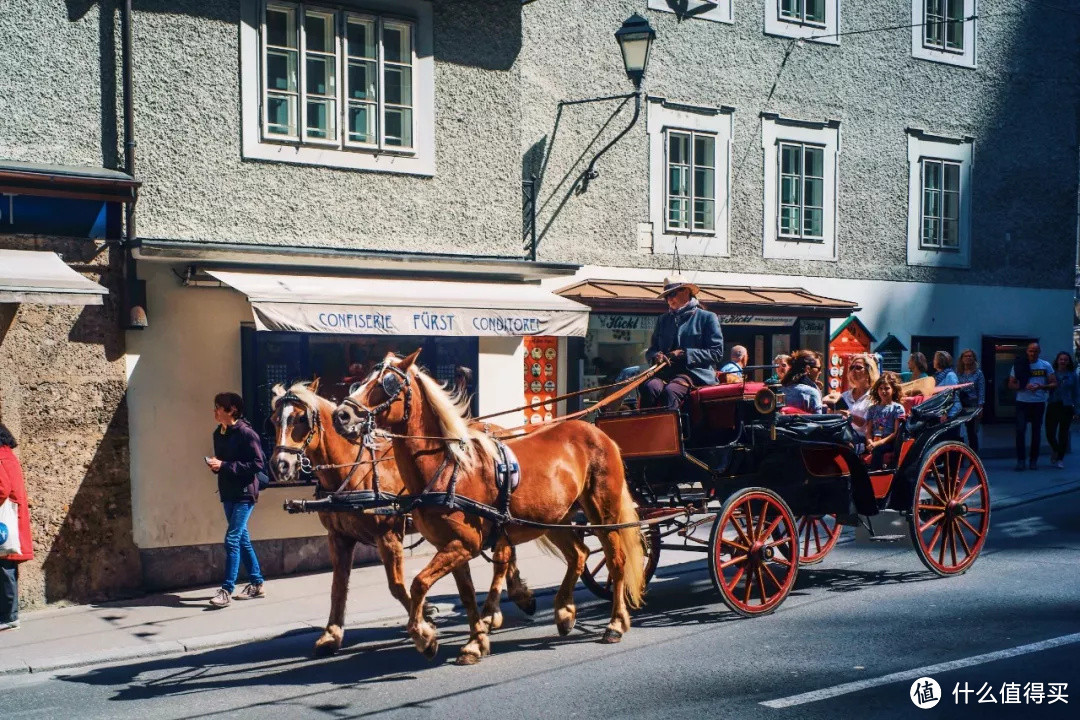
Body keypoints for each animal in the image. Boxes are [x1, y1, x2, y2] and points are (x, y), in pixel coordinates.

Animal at [266, 382, 535, 660]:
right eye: (274, 420)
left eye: (301, 419)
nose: (280, 465)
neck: (355, 468)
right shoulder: (339, 537)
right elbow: (337, 587)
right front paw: (331, 634)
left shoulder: (388, 535)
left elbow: (395, 585)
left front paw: (425, 620)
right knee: (507, 552)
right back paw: (517, 594)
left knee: (502, 557)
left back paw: (493, 611)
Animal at [332, 349, 643, 664]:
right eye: (360, 380)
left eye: (388, 384)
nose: (341, 415)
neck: (449, 467)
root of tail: (596, 432)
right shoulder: (452, 546)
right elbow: (466, 594)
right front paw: (476, 641)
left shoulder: (464, 544)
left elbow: (419, 583)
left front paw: (424, 635)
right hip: (553, 519)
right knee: (579, 554)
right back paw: (564, 612)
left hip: (602, 512)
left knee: (616, 560)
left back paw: (615, 623)